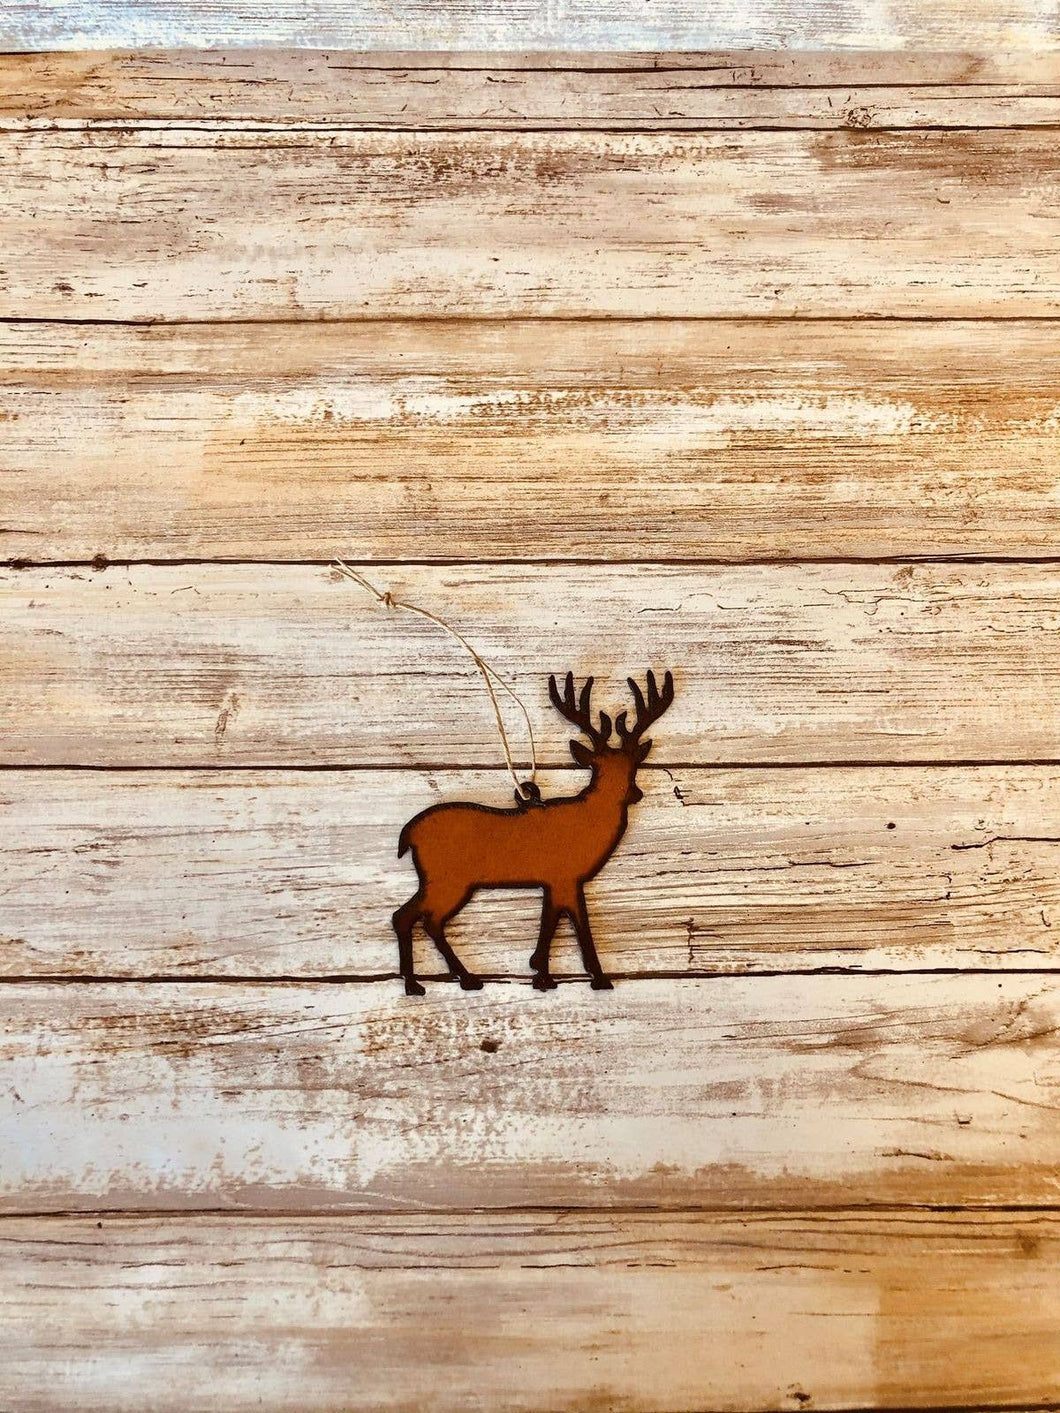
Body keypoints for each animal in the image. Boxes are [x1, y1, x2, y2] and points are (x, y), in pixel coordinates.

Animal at [393, 670, 675, 995]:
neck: (588, 821)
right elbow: (576, 923)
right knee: (417, 918)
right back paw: (442, 981)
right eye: (599, 769)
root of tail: (408, 834)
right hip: (447, 879)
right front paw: (596, 977)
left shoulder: (553, 881)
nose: (635, 793)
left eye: (633, 767)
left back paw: (434, 980)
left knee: (415, 918)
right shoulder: (566, 877)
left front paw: (541, 973)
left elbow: (550, 921)